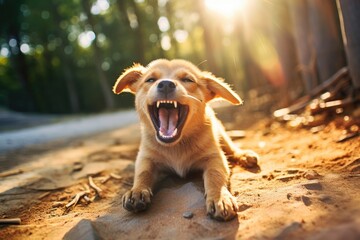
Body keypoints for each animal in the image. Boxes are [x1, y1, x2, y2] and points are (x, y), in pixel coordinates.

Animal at [113, 59, 258, 220]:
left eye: (188, 80)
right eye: (150, 80)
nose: (166, 84)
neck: (176, 146)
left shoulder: (215, 157)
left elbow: (214, 175)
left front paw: (219, 197)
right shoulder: (145, 157)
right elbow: (142, 172)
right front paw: (137, 191)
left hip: (221, 133)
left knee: (231, 148)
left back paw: (244, 155)